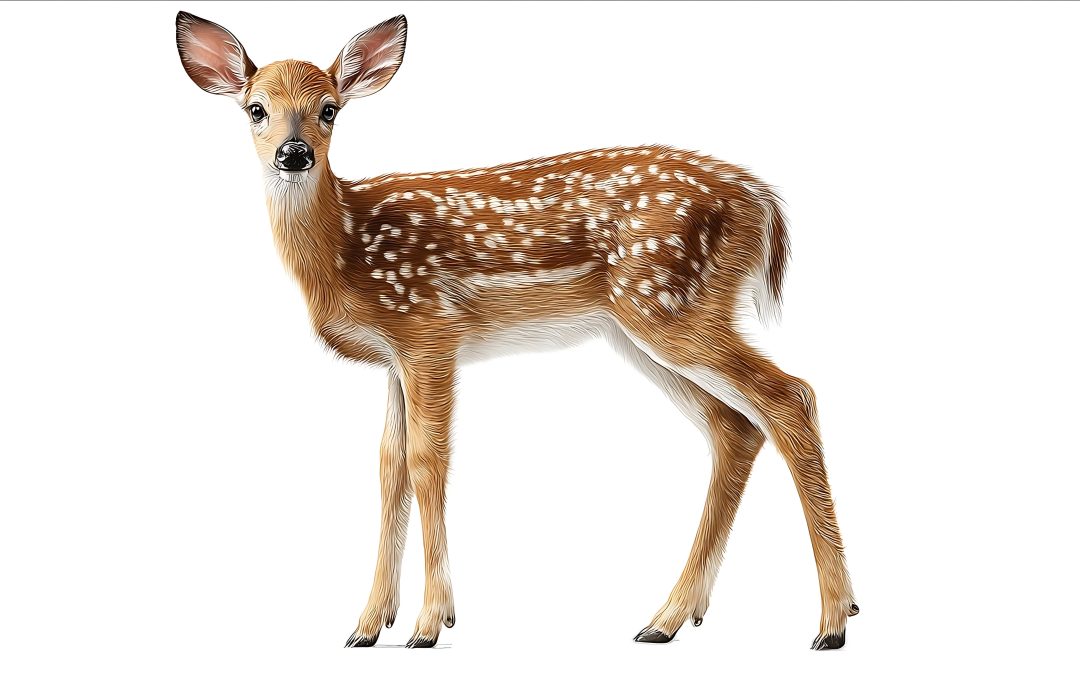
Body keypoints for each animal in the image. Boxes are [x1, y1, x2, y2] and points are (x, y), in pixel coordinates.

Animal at [176, 11, 858, 650]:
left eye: (329, 110)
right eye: (256, 109)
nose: (295, 154)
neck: (344, 246)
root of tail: (763, 199)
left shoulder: (429, 332)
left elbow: (428, 462)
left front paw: (430, 624)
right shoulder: (394, 356)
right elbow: (389, 469)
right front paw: (368, 625)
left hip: (668, 303)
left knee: (789, 396)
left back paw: (832, 619)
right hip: (644, 326)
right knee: (736, 426)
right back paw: (668, 618)